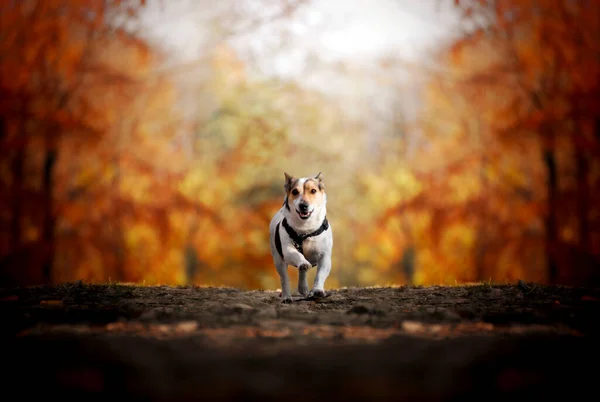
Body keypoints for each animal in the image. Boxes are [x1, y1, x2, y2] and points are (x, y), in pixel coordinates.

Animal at [268, 171, 332, 304]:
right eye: (295, 192)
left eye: (313, 191)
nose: (303, 205)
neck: (305, 229)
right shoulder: (288, 250)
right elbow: (297, 256)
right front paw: (302, 262)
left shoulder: (325, 256)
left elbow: (320, 274)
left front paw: (317, 290)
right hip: (278, 260)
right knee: (284, 278)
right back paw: (286, 296)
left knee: (302, 273)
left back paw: (303, 288)